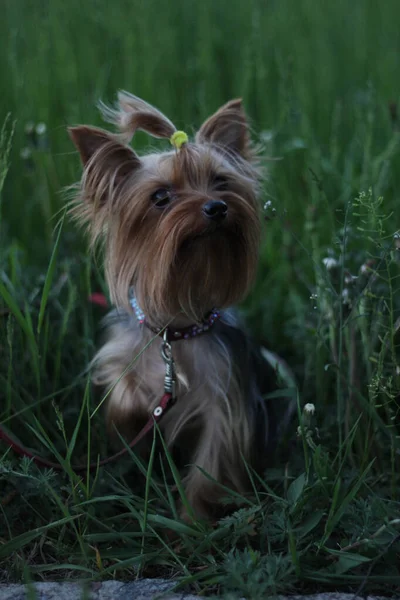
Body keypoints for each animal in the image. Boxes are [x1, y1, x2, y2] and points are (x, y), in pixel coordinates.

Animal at [69, 91, 292, 516]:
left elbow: (212, 465)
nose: (217, 207)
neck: (176, 331)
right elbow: (123, 390)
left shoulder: (226, 398)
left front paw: (193, 522)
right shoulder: (121, 356)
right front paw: (137, 407)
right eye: (160, 197)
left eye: (220, 181)